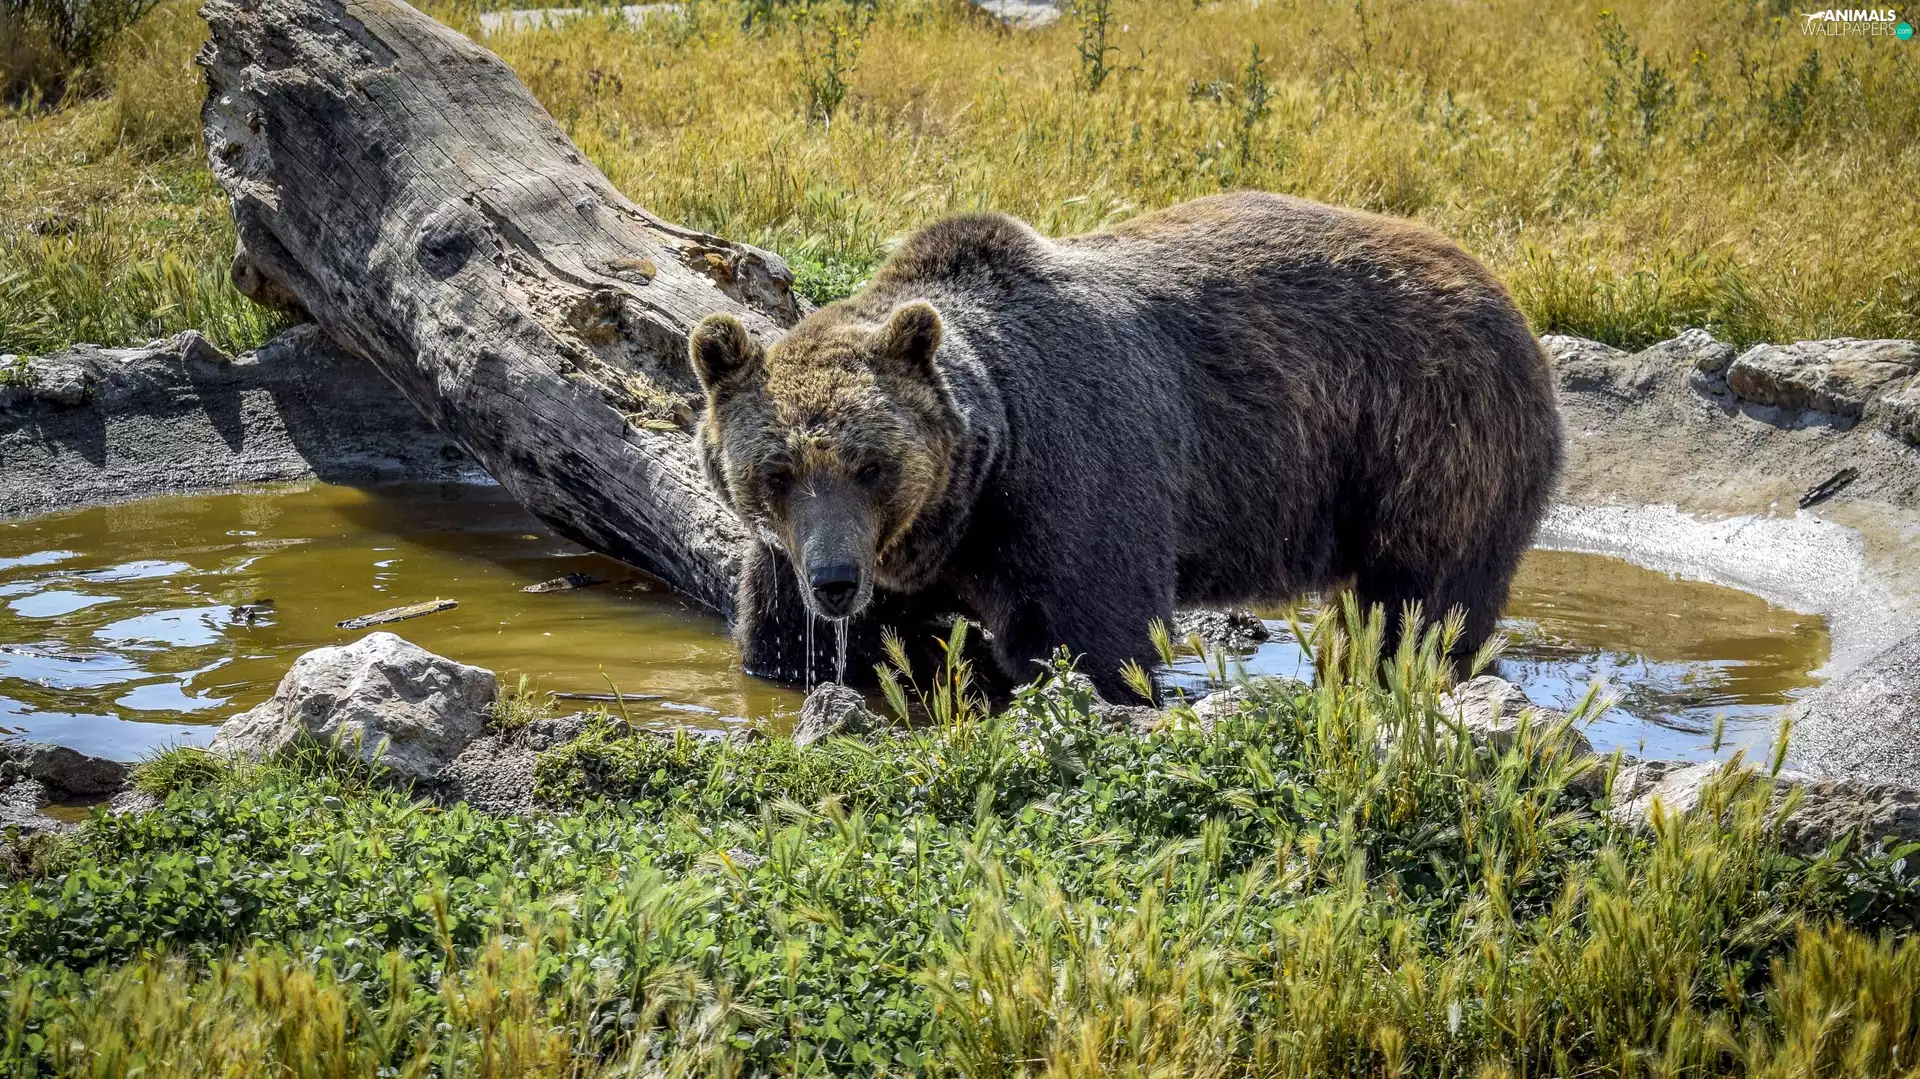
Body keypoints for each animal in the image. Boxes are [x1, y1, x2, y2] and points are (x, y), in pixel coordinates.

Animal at [688, 191, 1563, 700]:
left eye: (873, 465)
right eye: (777, 470)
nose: (836, 581)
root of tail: (1505, 297)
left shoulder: (1075, 473)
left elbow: (1091, 633)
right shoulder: (824, 545)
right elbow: (785, 638)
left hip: (1433, 437)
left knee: (1422, 597)